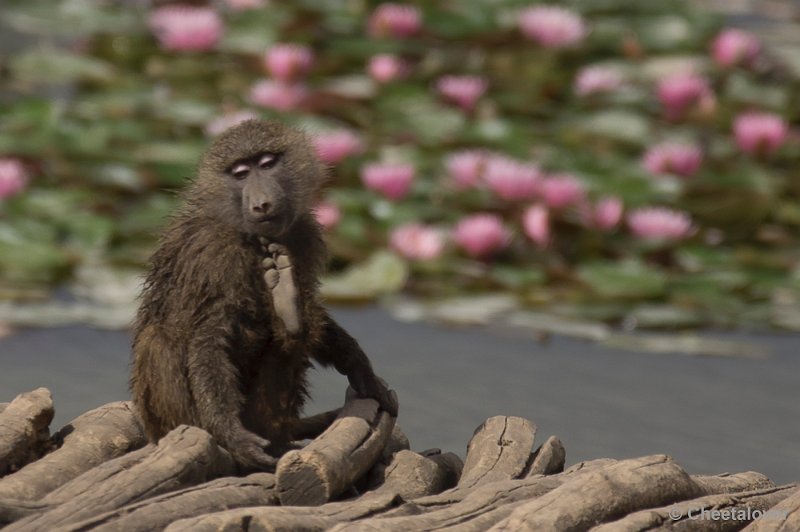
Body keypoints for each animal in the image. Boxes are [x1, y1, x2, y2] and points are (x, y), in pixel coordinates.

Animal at [130, 119, 400, 470]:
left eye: (268, 164)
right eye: (241, 173)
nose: (261, 204)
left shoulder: (303, 235)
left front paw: (360, 368)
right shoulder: (215, 254)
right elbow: (209, 337)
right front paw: (232, 434)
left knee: (292, 340)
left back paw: (288, 311)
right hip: (166, 419)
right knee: (160, 338)